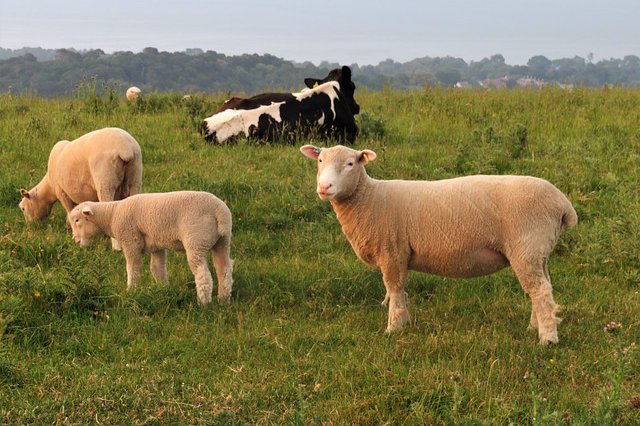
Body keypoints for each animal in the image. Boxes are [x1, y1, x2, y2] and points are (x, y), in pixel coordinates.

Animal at [69, 191, 232, 306]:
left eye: (77, 220)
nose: (75, 240)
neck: (111, 215)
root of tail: (219, 211)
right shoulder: (156, 245)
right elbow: (157, 269)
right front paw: (163, 290)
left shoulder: (131, 240)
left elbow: (132, 269)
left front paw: (131, 291)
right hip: (222, 242)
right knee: (224, 270)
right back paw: (223, 299)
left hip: (196, 241)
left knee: (203, 274)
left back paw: (203, 303)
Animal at [302, 145, 580, 344]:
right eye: (319, 161)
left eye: (350, 164)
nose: (324, 186)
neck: (370, 198)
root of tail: (563, 204)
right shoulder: (398, 253)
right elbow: (400, 291)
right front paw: (405, 323)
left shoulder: (392, 251)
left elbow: (394, 289)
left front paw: (393, 328)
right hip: (538, 252)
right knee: (543, 288)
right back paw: (535, 327)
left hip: (527, 247)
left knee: (540, 291)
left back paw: (547, 340)